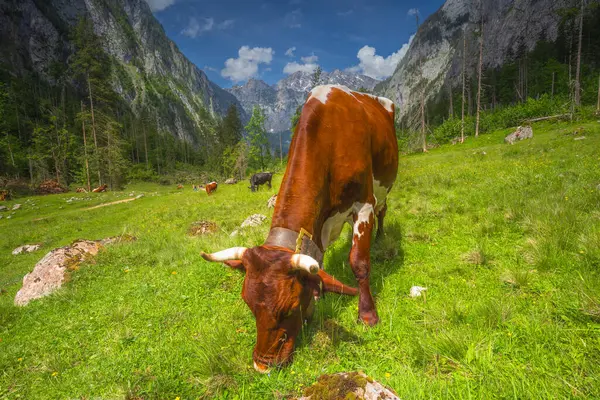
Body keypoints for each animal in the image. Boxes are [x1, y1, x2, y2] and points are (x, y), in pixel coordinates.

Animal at [202, 85, 398, 376]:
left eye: (291, 307)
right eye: (249, 304)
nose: (262, 365)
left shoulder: (364, 204)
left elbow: (359, 262)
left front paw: (367, 314)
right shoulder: (319, 229)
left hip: (383, 190)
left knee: (383, 213)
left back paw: (380, 237)